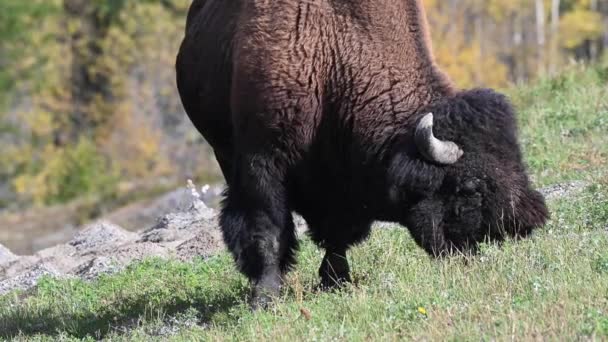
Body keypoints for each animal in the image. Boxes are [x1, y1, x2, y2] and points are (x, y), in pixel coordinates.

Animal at [176, 0, 552, 308]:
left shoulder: (342, 188)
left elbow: (337, 236)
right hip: (223, 151)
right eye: (469, 188)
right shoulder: (262, 162)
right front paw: (265, 297)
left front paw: (336, 281)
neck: (331, 56)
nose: (524, 224)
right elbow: (267, 229)